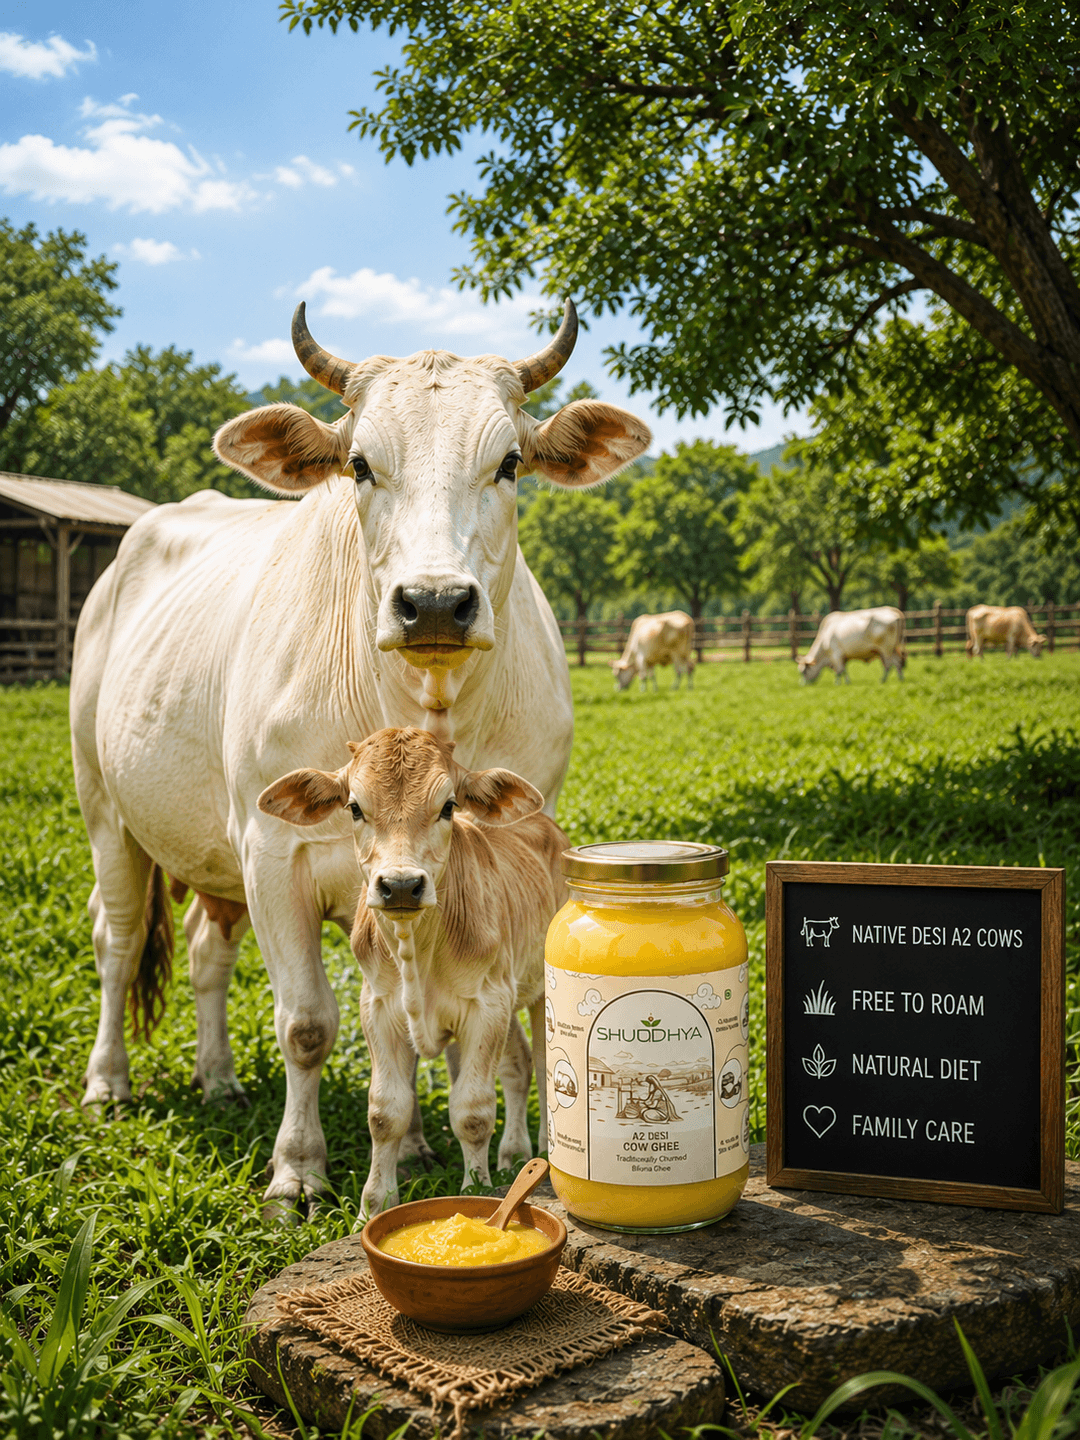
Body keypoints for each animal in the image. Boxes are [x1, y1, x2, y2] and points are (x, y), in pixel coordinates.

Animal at [258, 727, 566, 1216]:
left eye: (448, 806)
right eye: (354, 807)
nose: (401, 885)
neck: (417, 949)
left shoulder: (487, 1004)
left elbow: (472, 1111)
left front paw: (475, 1191)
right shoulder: (380, 1006)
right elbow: (386, 1112)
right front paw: (374, 1205)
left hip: (537, 994)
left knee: (539, 1064)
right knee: (517, 1064)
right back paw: (512, 1156)